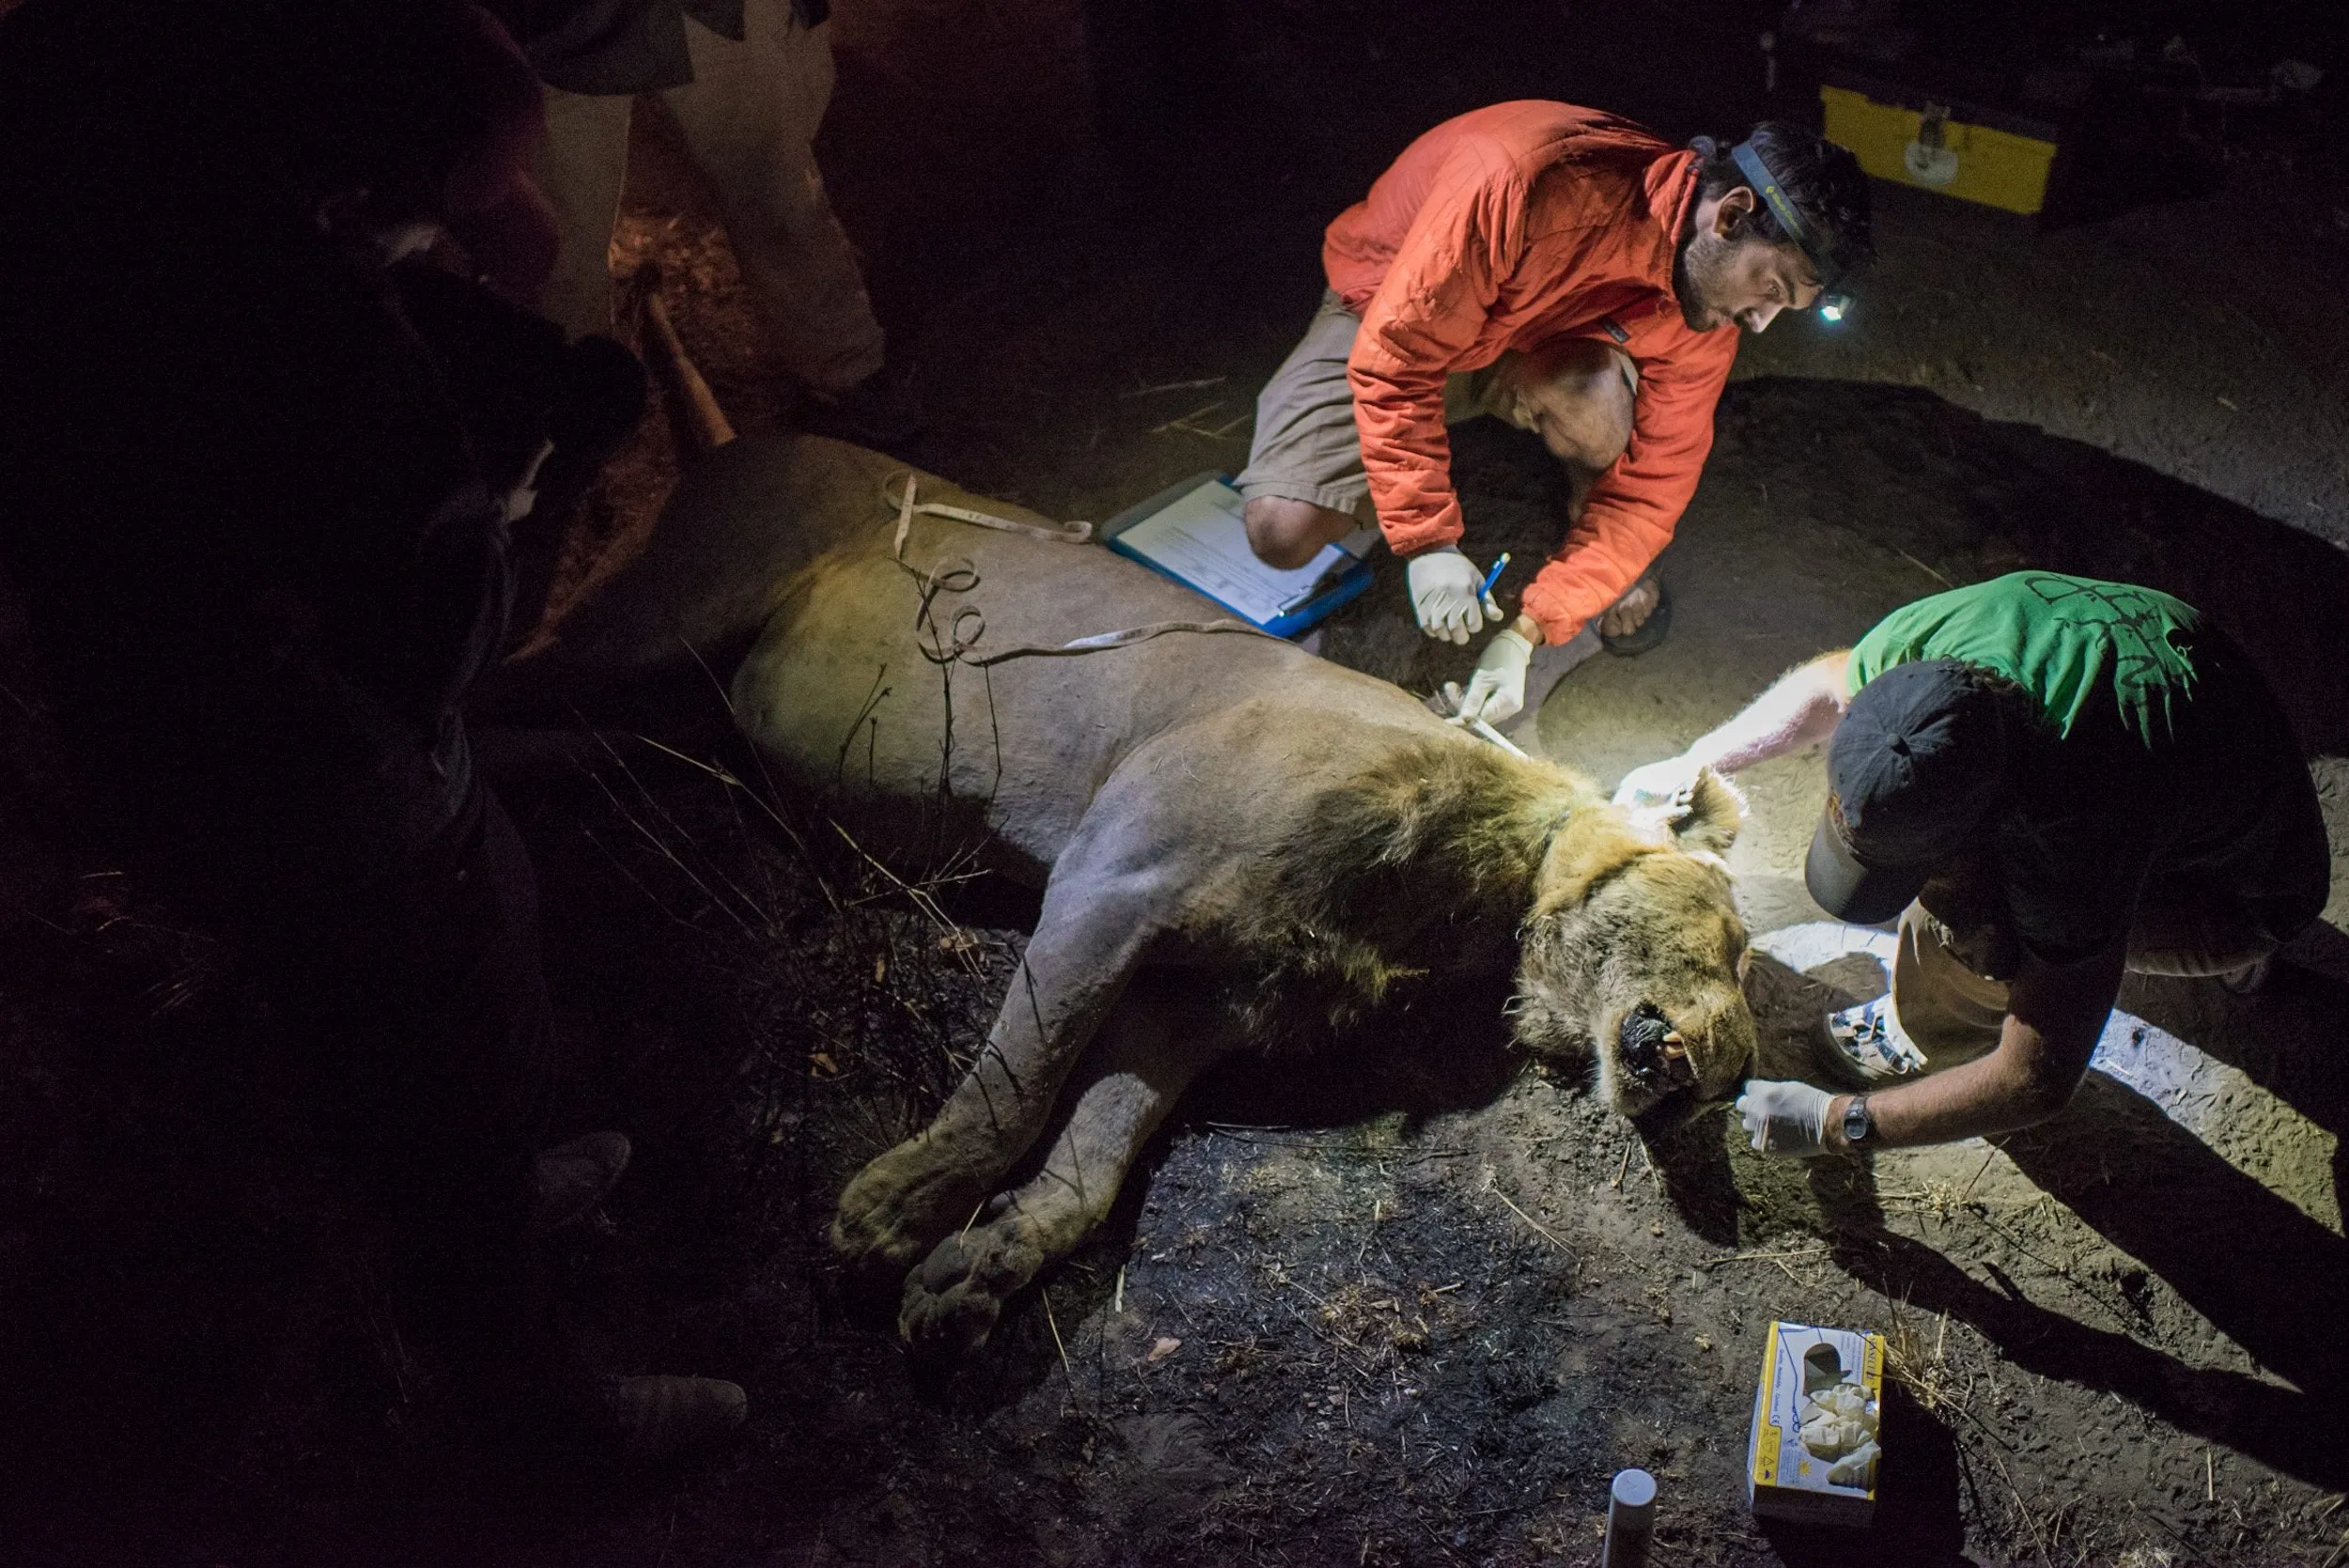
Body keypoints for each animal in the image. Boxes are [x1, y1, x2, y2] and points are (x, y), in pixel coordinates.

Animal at [500, 432, 1756, 1360]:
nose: (1731, 1073)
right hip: (664, 612)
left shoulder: (1196, 1002)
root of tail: (736, 438)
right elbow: (1013, 1087)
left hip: (663, 705)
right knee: (496, 681)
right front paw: (892, 1211)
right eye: (1738, 944)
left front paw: (972, 1273)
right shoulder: (1109, 882)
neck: (1459, 892)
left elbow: (1093, 1158)